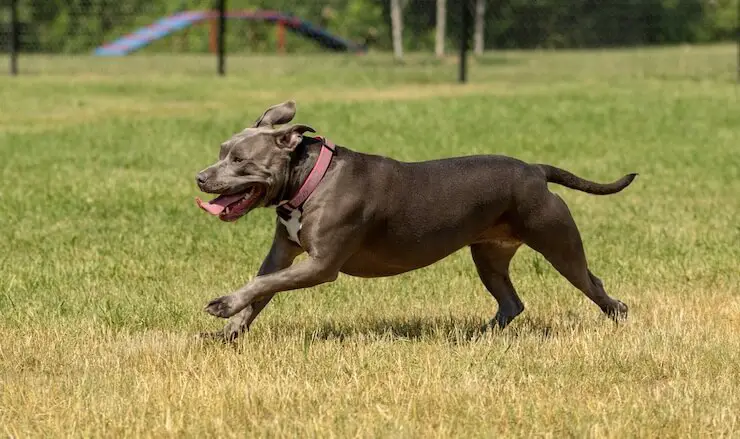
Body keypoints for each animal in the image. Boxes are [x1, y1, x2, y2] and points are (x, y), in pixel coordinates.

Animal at [195, 101, 636, 342]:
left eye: (240, 160)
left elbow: (263, 285)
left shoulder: (321, 265)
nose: (200, 177)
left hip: (558, 242)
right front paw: (232, 328)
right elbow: (262, 287)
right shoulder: (283, 254)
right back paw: (477, 337)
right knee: (511, 302)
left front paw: (223, 305)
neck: (309, 178)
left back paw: (618, 313)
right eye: (221, 151)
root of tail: (535, 170)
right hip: (489, 255)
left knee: (593, 284)